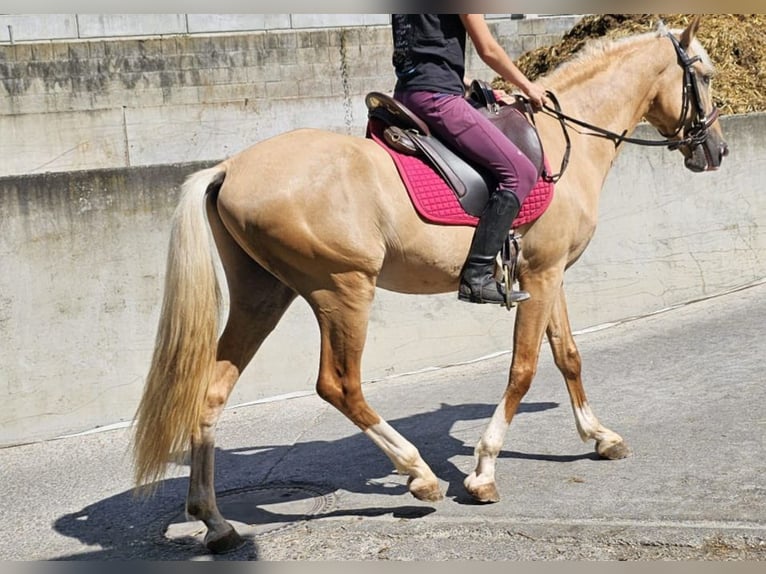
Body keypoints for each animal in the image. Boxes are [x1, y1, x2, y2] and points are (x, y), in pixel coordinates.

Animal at [135, 18, 728, 556]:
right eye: (703, 74)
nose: (717, 151)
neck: (567, 141)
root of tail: (229, 167)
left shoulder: (548, 272)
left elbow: (568, 355)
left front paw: (600, 437)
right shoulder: (541, 274)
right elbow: (524, 368)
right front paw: (484, 471)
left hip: (264, 296)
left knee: (211, 393)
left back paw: (214, 522)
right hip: (342, 290)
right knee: (339, 385)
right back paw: (417, 473)